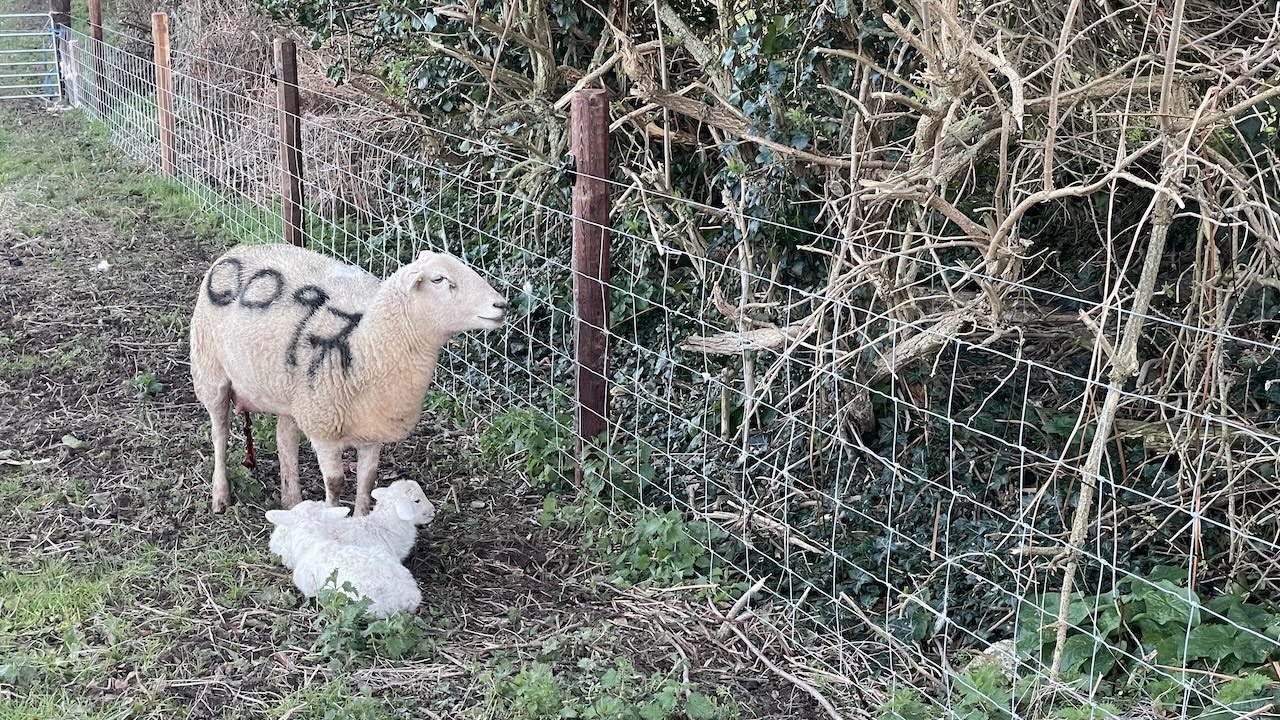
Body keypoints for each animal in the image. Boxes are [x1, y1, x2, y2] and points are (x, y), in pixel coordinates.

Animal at [189, 243, 507, 515]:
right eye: (439, 279)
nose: (501, 305)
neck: (366, 346)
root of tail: (237, 250)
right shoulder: (325, 431)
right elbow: (335, 482)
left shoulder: (373, 430)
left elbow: (367, 481)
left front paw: (362, 522)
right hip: (210, 371)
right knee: (220, 434)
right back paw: (221, 496)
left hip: (293, 395)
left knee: (285, 438)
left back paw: (292, 500)